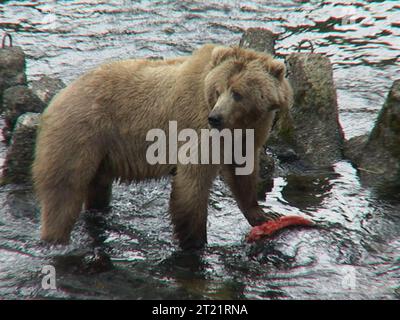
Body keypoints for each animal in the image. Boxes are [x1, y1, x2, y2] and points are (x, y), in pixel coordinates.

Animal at [32, 44, 292, 250]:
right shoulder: (197, 126)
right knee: (63, 193)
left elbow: (242, 174)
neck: (240, 123)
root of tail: (58, 97)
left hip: (100, 152)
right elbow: (192, 182)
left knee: (97, 187)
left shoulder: (248, 134)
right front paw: (195, 242)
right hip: (79, 135)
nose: (215, 117)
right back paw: (55, 240)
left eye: (237, 93)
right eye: (218, 90)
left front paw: (264, 214)